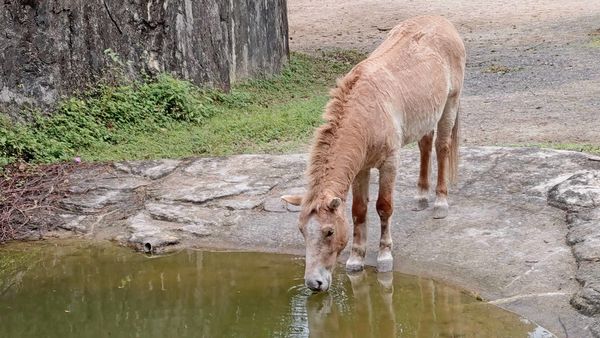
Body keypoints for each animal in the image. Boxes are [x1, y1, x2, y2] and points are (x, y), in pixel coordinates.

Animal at [280, 15, 464, 290]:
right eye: (302, 230)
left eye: (329, 231)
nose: (314, 283)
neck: (366, 113)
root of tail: (441, 21)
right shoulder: (361, 169)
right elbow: (358, 211)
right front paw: (356, 260)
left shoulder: (389, 163)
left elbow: (383, 207)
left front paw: (385, 256)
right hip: (426, 114)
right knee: (425, 144)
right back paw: (421, 197)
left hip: (450, 104)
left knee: (441, 147)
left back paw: (440, 203)